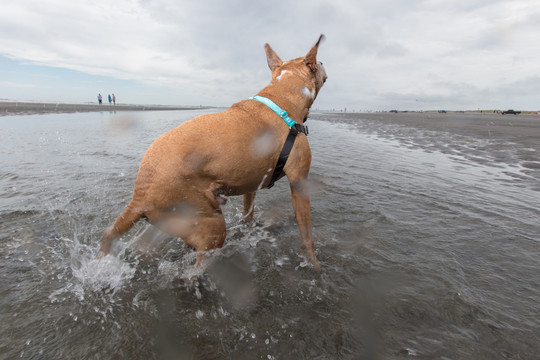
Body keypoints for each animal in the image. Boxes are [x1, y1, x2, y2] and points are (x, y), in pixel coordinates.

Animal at [97, 35, 326, 268]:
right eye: (317, 63)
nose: (323, 62)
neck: (282, 97)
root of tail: (140, 196)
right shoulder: (299, 182)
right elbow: (306, 234)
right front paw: (313, 262)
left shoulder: (252, 185)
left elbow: (248, 214)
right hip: (212, 226)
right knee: (197, 266)